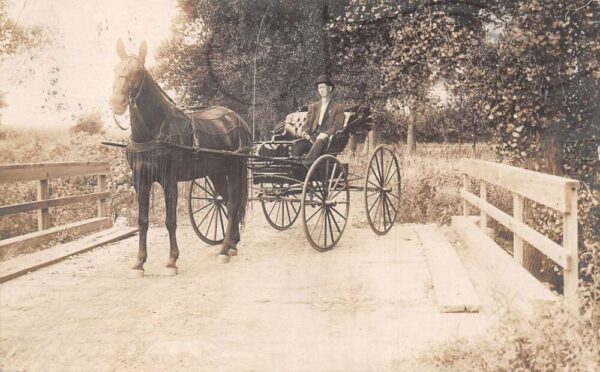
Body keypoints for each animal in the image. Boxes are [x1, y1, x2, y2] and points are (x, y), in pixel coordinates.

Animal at [110, 40, 251, 276]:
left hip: (233, 169)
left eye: (138, 71)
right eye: (115, 69)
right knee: (225, 200)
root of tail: (237, 118)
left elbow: (170, 221)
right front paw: (139, 263)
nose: (117, 102)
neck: (155, 130)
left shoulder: (169, 181)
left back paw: (223, 250)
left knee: (232, 205)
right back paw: (232, 244)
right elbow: (142, 221)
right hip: (217, 173)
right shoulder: (141, 181)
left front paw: (172, 261)